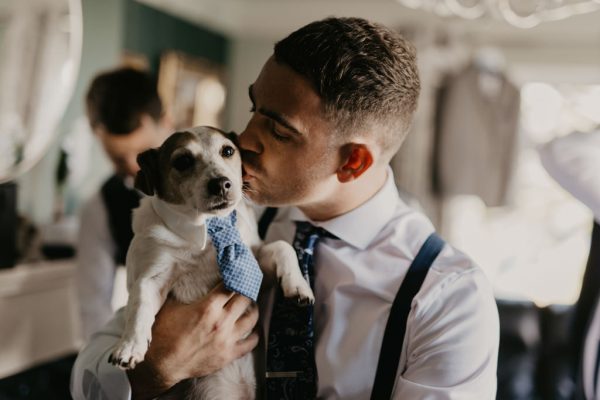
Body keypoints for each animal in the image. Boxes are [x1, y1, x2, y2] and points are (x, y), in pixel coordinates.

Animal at [108, 126, 314, 398]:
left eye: (227, 151)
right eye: (182, 161)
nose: (221, 184)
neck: (209, 226)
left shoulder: (256, 265)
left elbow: (283, 246)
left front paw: (299, 286)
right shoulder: (151, 278)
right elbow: (139, 306)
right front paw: (130, 345)